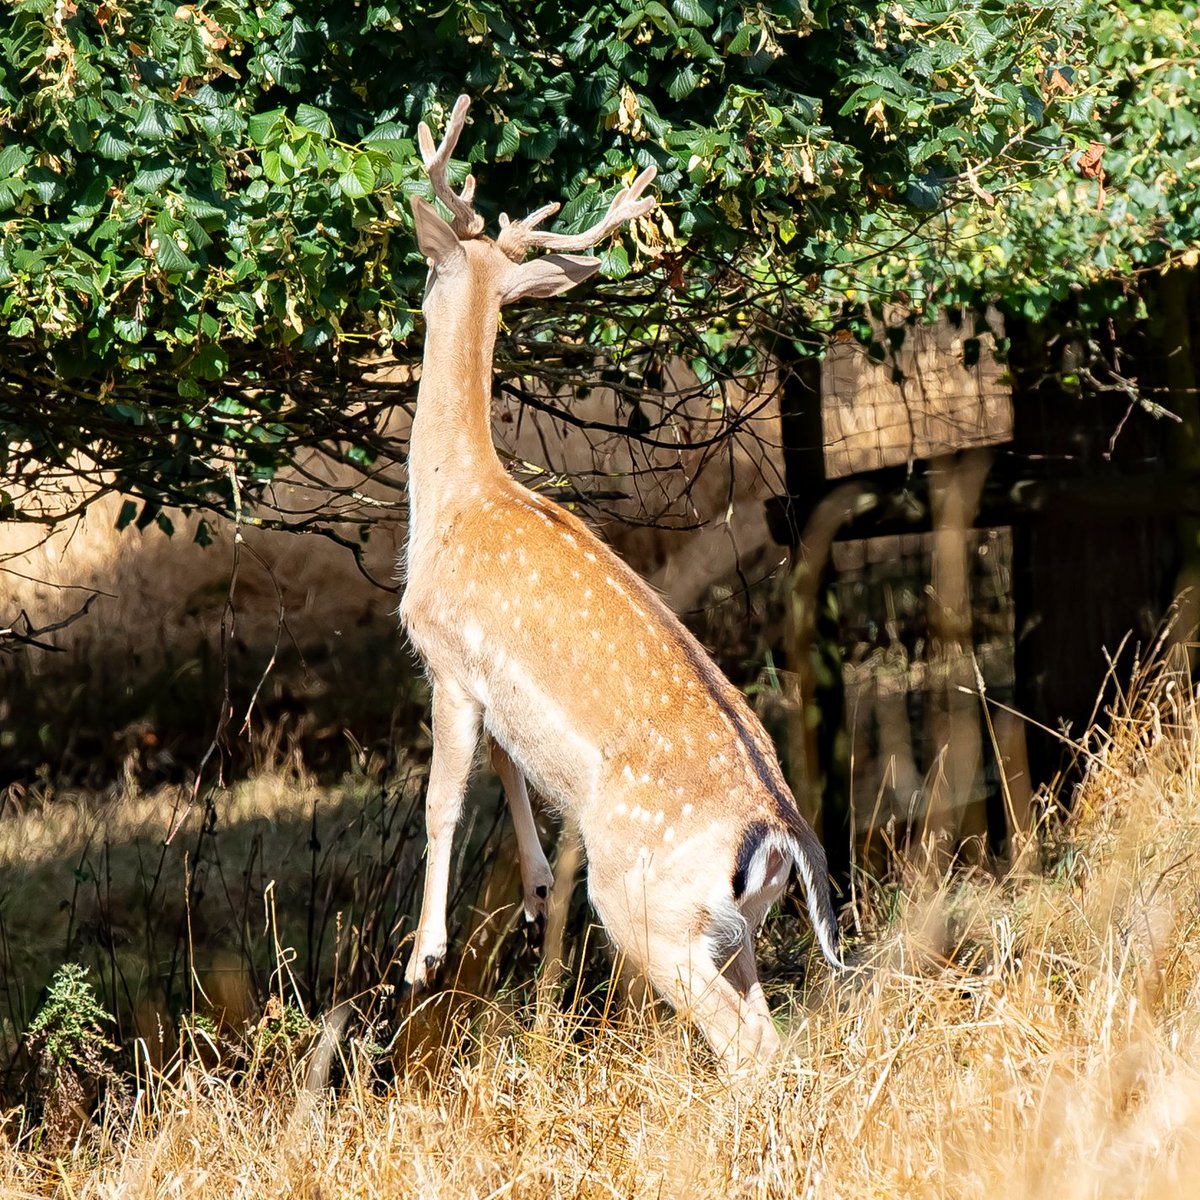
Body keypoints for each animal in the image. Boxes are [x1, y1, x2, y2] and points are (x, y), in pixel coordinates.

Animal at [399, 95, 842, 1070]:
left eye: (430, 270)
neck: (454, 499)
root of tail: (783, 836)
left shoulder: (447, 657)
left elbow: (441, 799)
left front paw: (423, 957)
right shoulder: (492, 692)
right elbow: (508, 769)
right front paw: (532, 897)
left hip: (643, 905)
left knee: (748, 1049)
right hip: (729, 930)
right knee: (770, 1034)